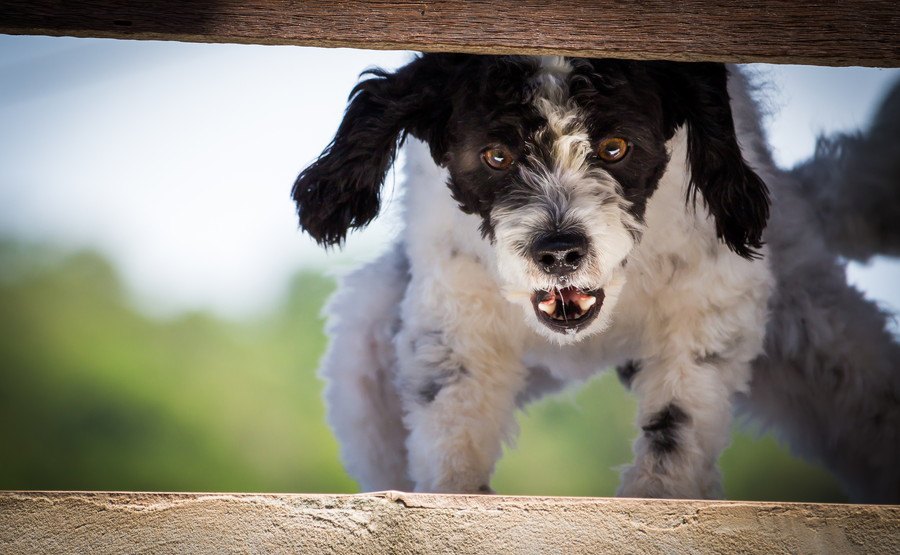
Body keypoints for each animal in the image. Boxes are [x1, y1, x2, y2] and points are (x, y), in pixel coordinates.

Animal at [292, 54, 896, 502]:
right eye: (495, 156)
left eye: (614, 148)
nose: (559, 251)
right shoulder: (456, 317)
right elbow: (453, 421)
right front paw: (456, 492)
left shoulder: (711, 303)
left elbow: (677, 418)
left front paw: (657, 494)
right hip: (367, 354)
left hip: (824, 345)